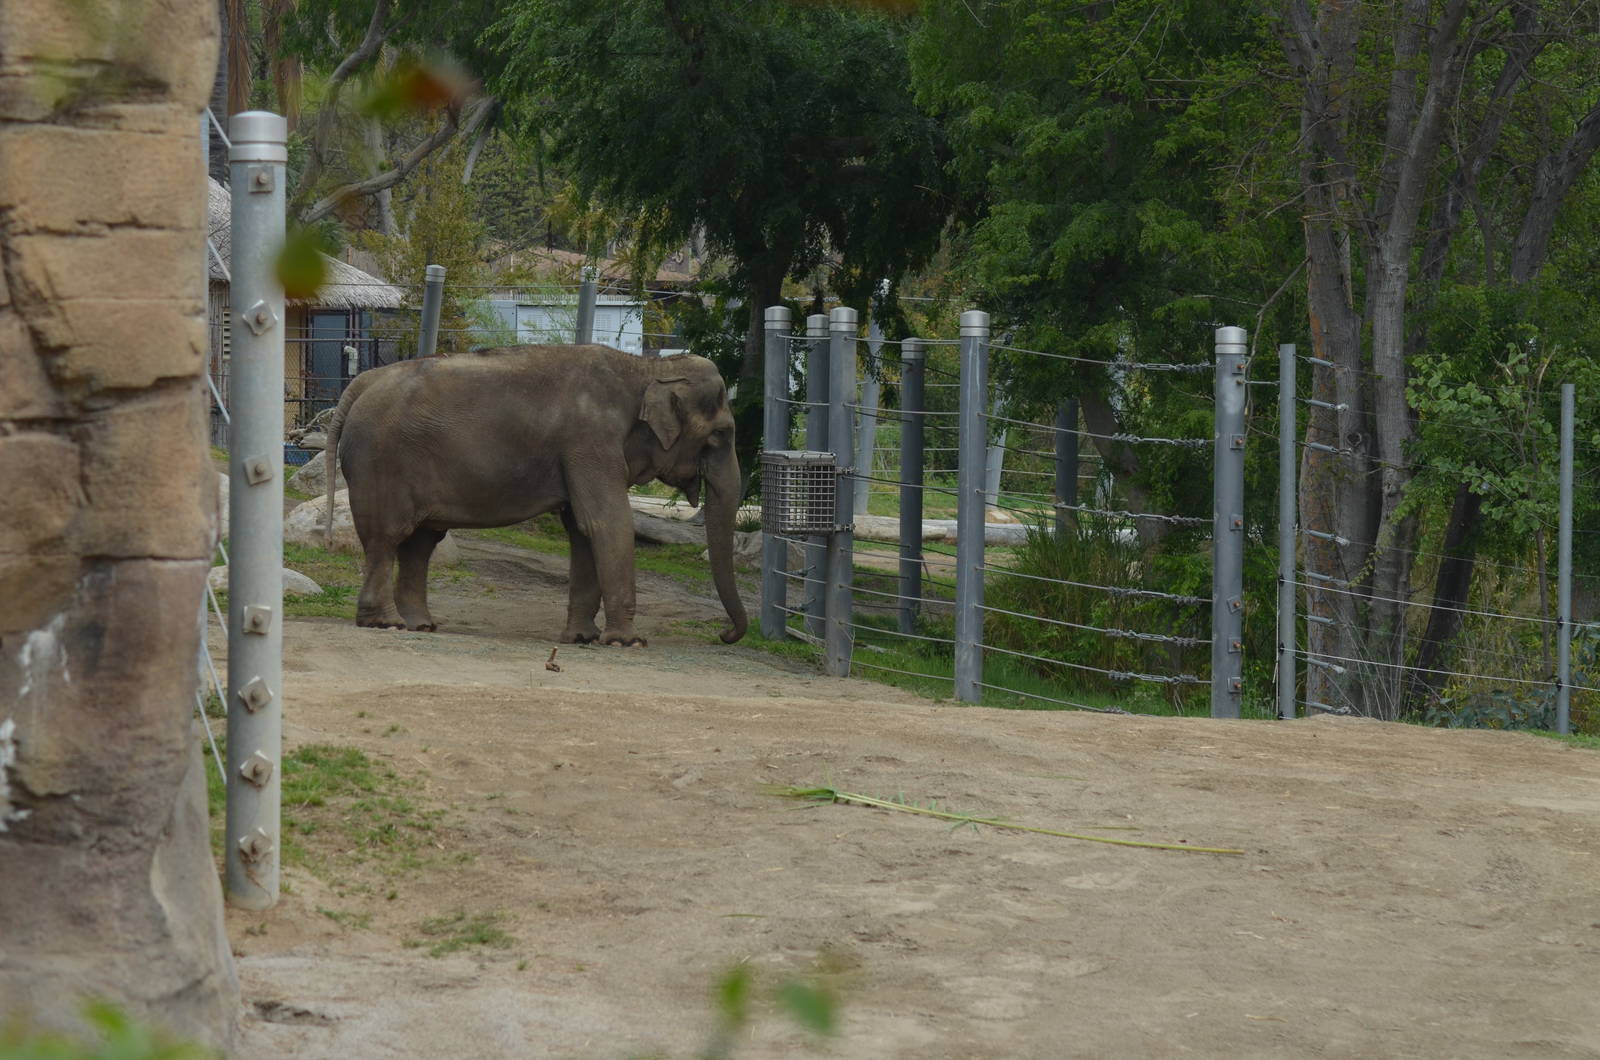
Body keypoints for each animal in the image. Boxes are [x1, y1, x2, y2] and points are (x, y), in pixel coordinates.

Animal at [321, 344, 748, 646]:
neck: (646, 368)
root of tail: (363, 382)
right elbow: (606, 522)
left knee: (420, 543)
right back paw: (385, 623)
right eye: (720, 435)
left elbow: (581, 529)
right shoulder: (590, 441)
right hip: (380, 463)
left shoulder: (583, 452)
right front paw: (628, 642)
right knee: (386, 539)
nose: (725, 635)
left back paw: (421, 626)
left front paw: (582, 638)